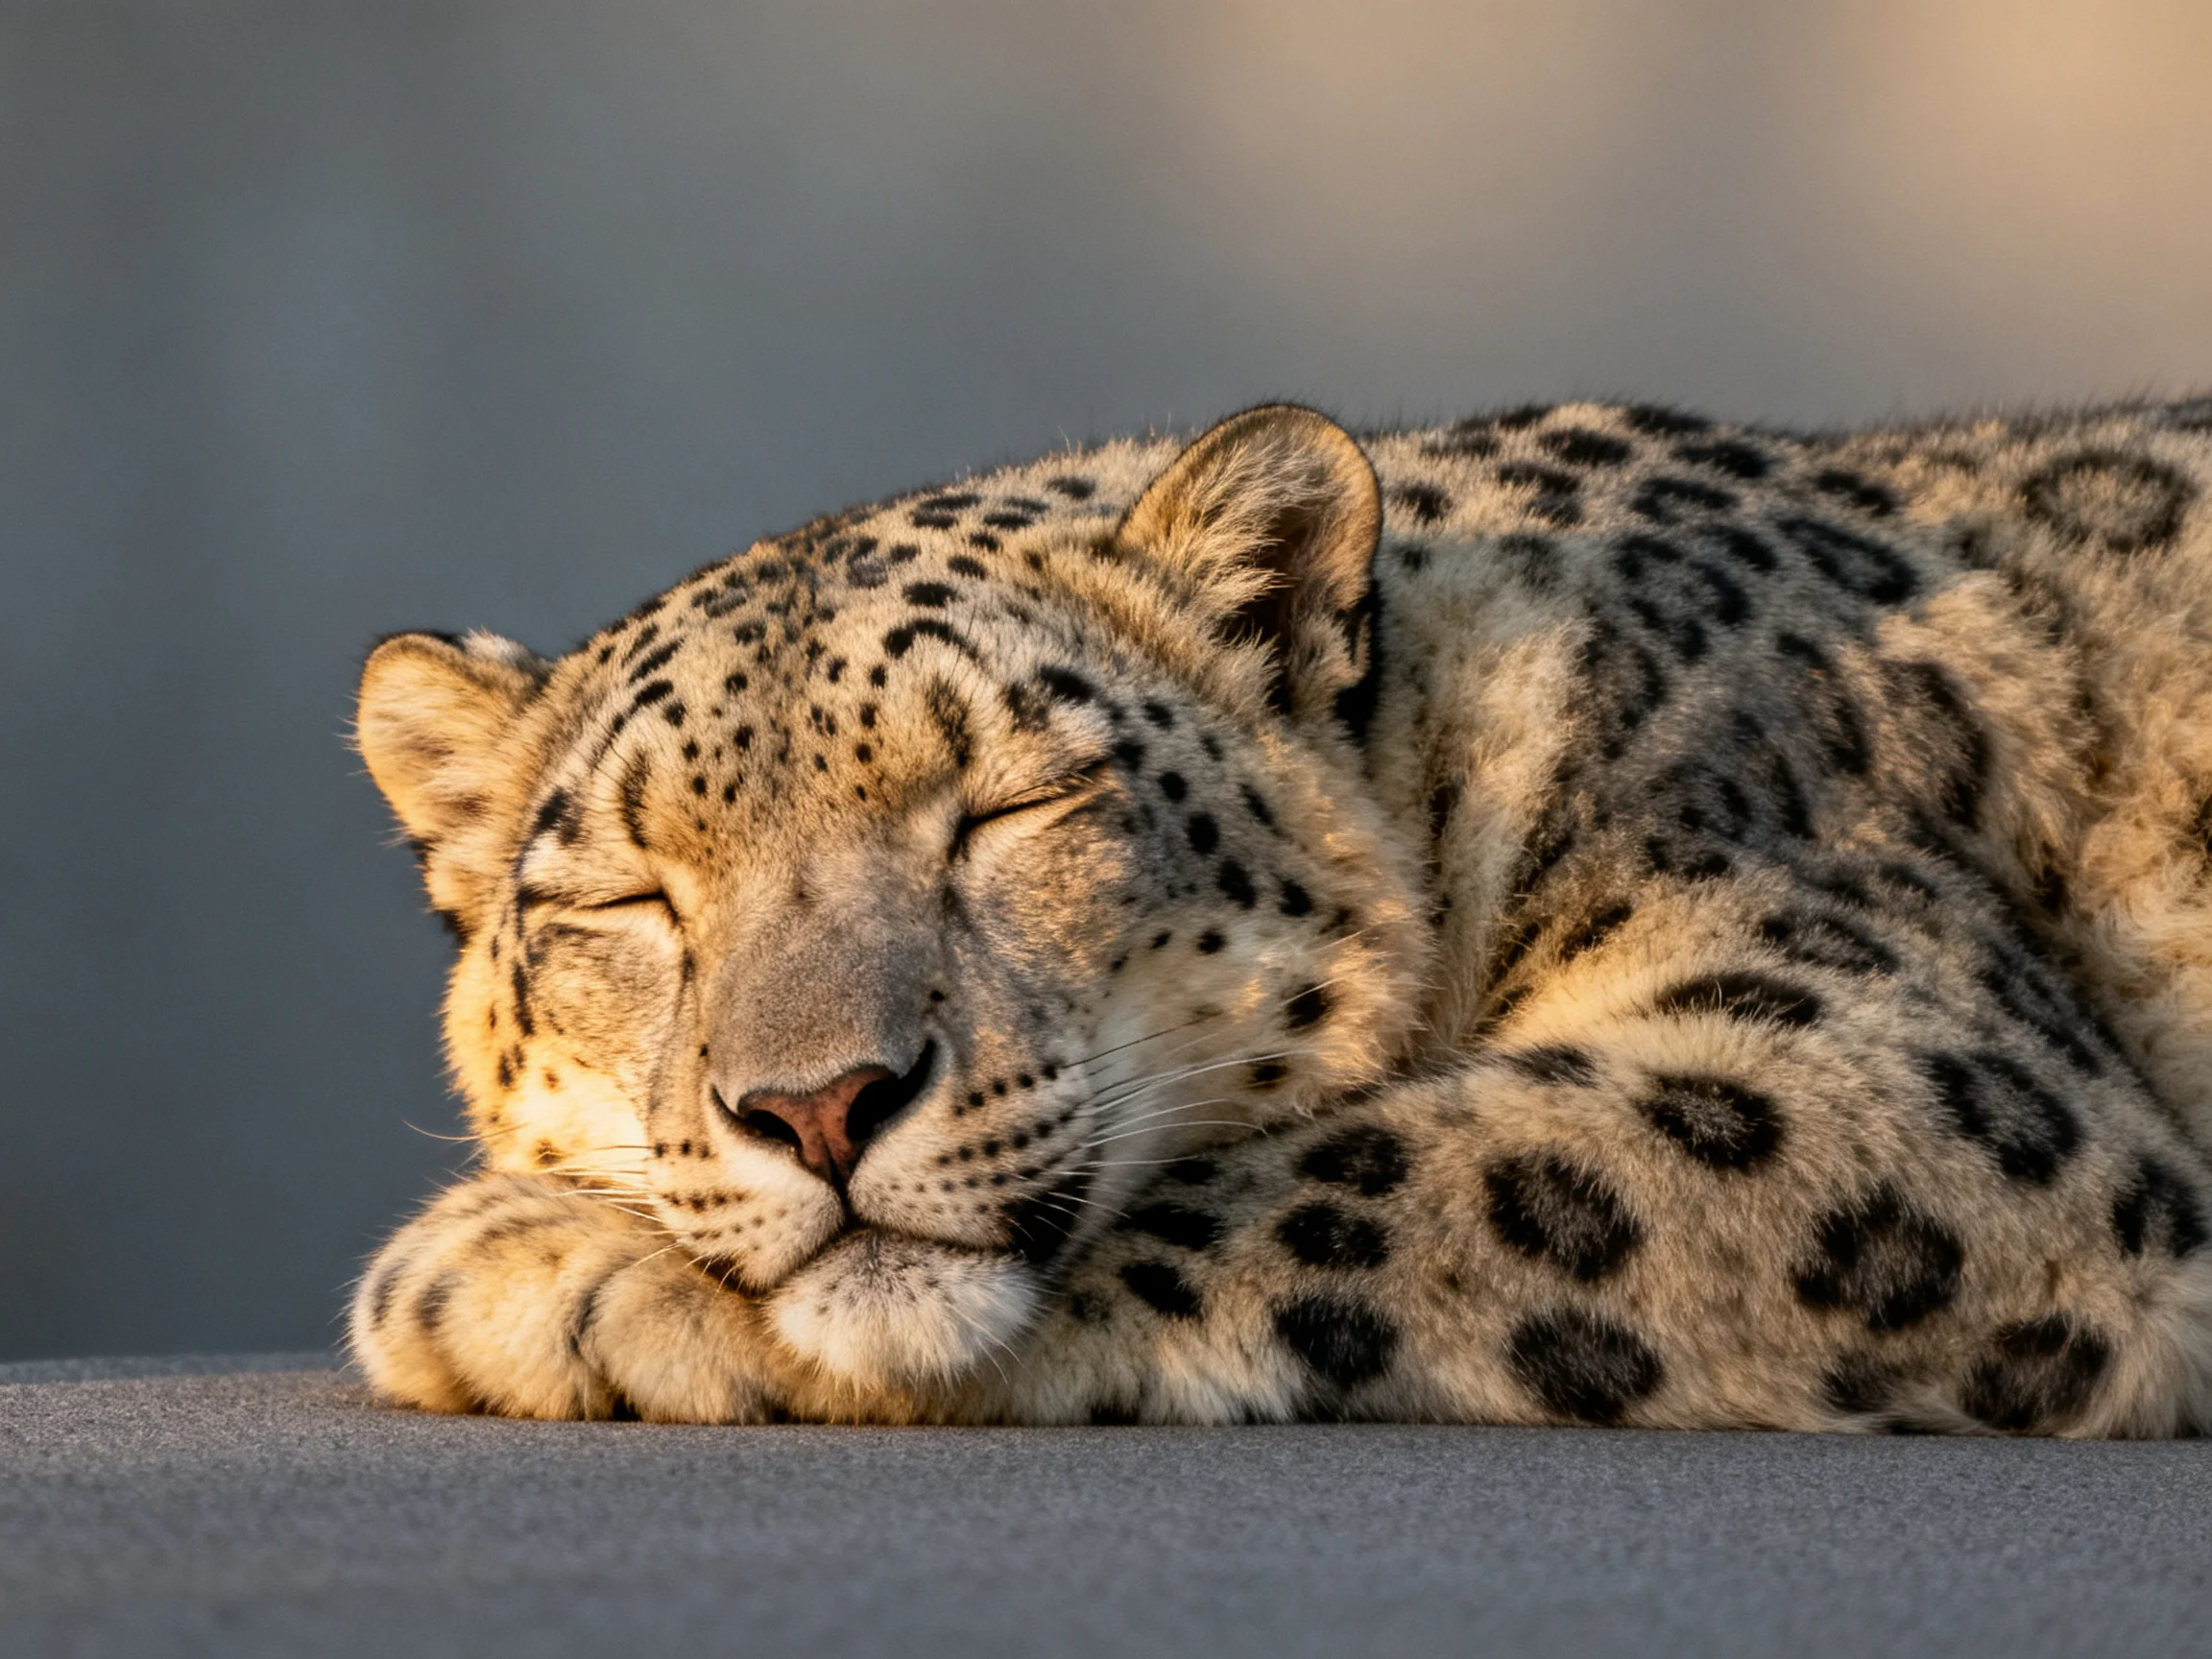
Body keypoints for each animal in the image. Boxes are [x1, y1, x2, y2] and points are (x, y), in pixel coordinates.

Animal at [348, 395, 2212, 1435]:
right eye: (631, 896)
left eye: (1010, 805)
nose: (817, 1105)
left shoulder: (1897, 1061)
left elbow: (1374, 1166)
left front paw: (518, 1267)